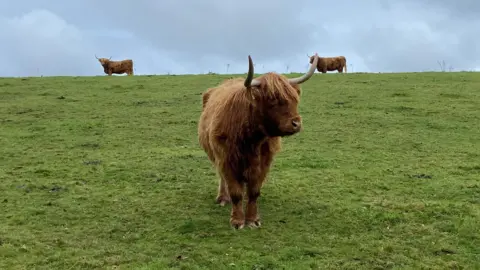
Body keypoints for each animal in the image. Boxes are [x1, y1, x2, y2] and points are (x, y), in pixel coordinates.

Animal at [197, 53, 320, 230]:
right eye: (273, 99)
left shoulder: (264, 161)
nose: (296, 123)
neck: (250, 139)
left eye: (295, 99)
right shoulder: (226, 159)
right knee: (222, 178)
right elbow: (235, 191)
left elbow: (254, 191)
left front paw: (253, 219)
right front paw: (237, 221)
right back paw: (222, 198)